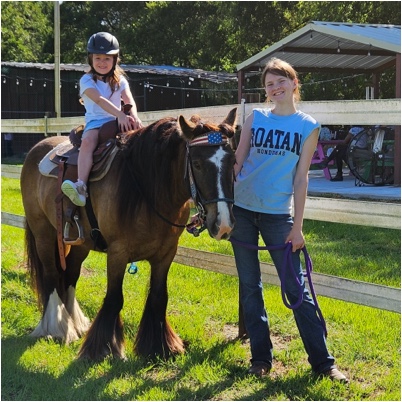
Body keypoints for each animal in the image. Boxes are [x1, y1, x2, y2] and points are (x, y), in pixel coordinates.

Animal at [20, 108, 237, 361]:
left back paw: (76, 323)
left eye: (233, 161)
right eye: (197, 164)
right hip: (43, 233)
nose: (223, 224)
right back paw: (57, 328)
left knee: (71, 275)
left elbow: (159, 297)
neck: (147, 189)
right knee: (52, 275)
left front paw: (160, 346)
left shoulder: (166, 254)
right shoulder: (118, 253)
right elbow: (115, 298)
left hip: (80, 243)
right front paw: (103, 349)